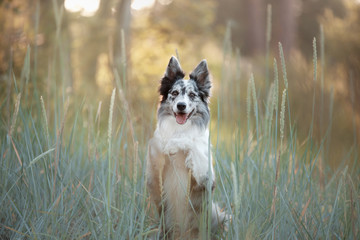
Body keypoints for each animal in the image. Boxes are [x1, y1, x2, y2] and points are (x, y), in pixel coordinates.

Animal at [146, 56, 225, 238]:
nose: (181, 105)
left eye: (192, 95)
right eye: (174, 93)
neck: (179, 129)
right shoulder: (154, 176)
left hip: (215, 213)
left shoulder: (204, 177)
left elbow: (191, 143)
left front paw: (175, 144)